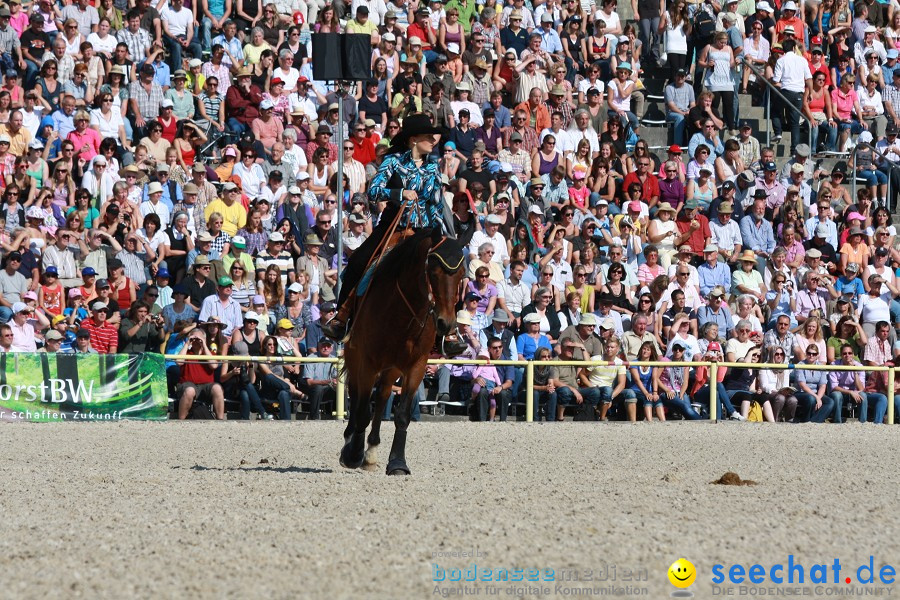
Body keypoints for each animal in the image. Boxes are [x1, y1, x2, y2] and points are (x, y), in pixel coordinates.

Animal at [338, 227, 464, 476]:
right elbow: (362, 409)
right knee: (356, 395)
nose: (446, 324)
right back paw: (351, 445)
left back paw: (371, 452)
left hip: (391, 367)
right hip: (355, 356)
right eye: (433, 271)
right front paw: (354, 454)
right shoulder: (367, 361)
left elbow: (402, 415)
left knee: (382, 395)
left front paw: (397, 462)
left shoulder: (416, 365)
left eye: (461, 275)